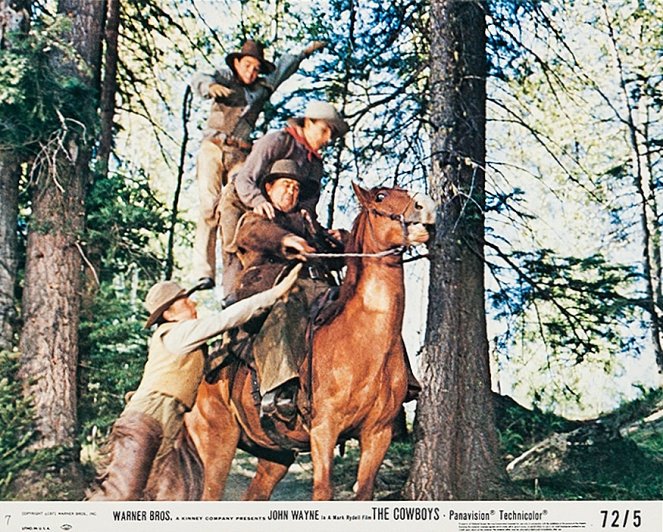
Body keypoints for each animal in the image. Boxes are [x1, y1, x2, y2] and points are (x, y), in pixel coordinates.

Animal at [185, 182, 436, 498]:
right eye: (380, 197)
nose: (427, 207)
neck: (362, 344)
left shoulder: (378, 435)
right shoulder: (323, 431)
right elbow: (323, 490)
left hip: (274, 455)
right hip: (215, 445)